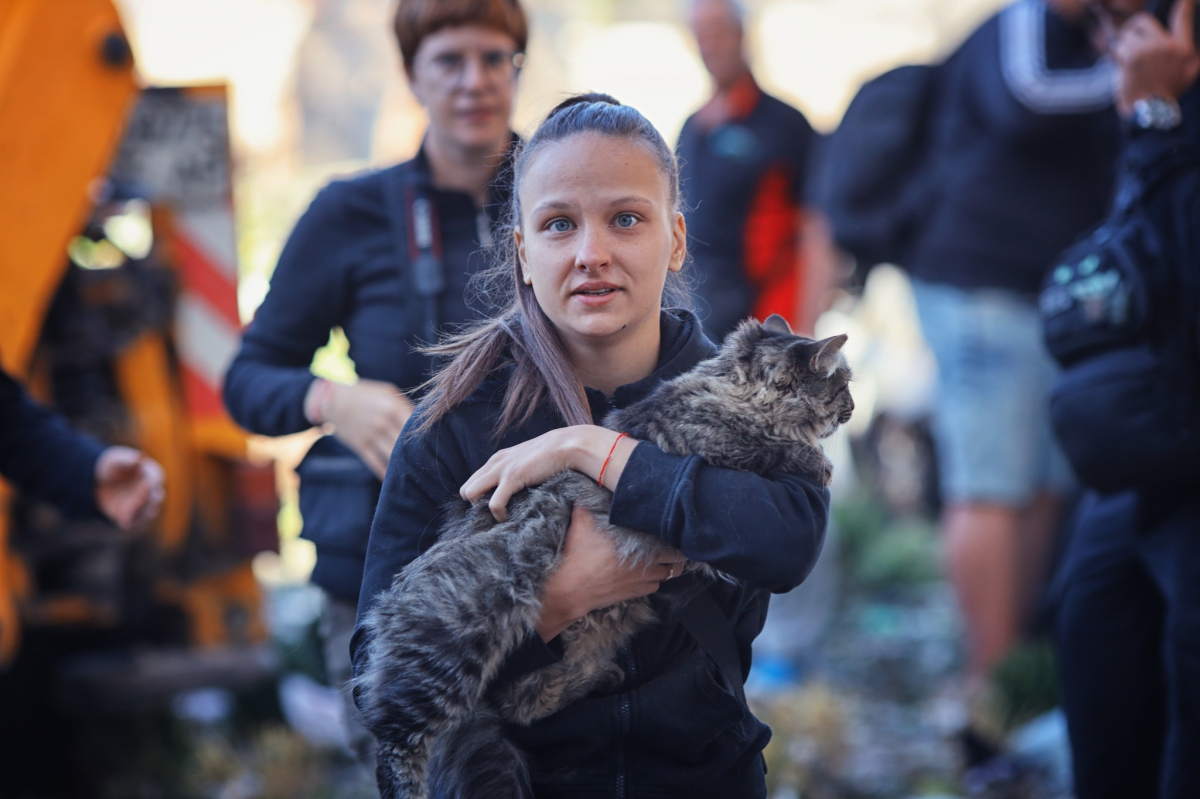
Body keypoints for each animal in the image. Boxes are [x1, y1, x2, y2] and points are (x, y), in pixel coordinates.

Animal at [355, 311, 854, 796]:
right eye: (843, 386)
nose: (851, 410)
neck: (733, 386)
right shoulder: (710, 447)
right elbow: (770, 447)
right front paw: (818, 461)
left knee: (521, 704)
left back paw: (603, 676)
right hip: (458, 638)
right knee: (393, 735)